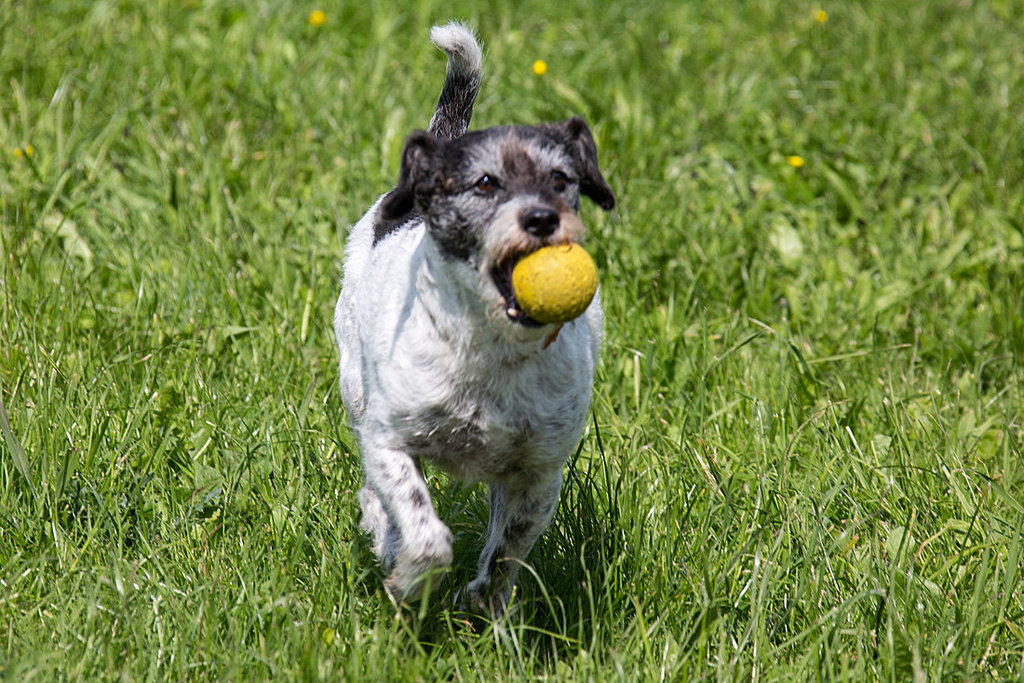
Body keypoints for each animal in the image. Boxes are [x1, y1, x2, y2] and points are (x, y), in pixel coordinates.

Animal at [331, 21, 610, 614]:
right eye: (485, 183)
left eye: (561, 179)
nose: (541, 218)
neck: (490, 349)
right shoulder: (389, 440)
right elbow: (425, 532)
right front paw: (410, 581)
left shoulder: (539, 471)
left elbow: (507, 550)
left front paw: (483, 604)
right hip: (356, 389)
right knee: (374, 493)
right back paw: (386, 542)